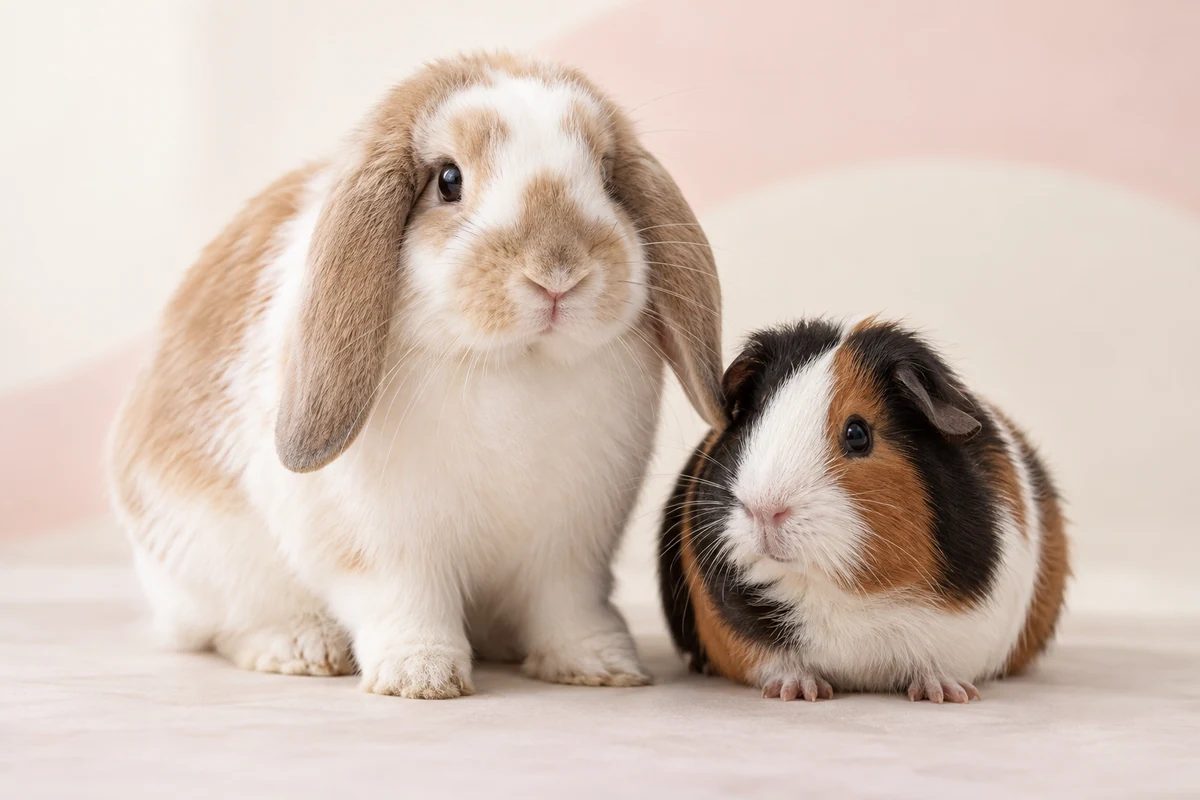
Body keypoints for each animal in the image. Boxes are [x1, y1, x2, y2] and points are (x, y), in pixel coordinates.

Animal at [107, 51, 725, 699]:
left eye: (606, 176)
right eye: (448, 180)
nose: (558, 272)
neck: (513, 365)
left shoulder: (572, 550)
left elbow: (569, 609)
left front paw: (600, 667)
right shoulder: (386, 548)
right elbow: (406, 603)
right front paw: (421, 677)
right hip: (208, 560)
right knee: (234, 625)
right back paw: (303, 648)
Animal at [659, 317, 1069, 702]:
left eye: (857, 434)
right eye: (751, 422)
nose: (764, 510)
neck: (843, 591)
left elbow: (935, 665)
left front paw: (947, 694)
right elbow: (778, 663)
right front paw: (799, 690)